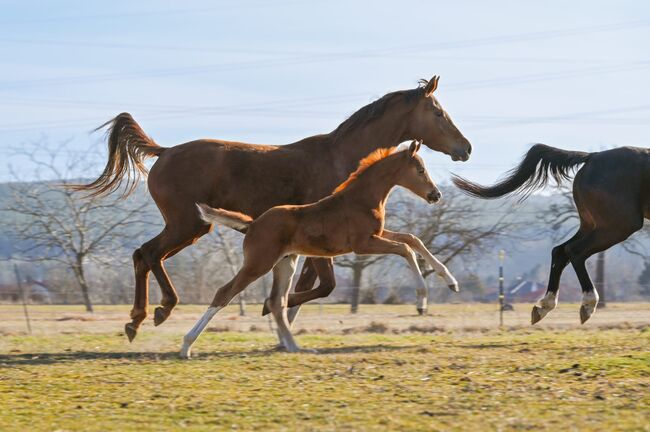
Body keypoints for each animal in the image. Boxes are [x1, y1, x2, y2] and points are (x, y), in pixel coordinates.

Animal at [72, 77, 470, 340]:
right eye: (438, 112)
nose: (465, 148)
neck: (343, 158)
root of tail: (164, 151)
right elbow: (322, 285)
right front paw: (272, 312)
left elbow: (318, 283)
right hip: (187, 224)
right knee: (148, 254)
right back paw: (155, 311)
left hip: (192, 227)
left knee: (145, 255)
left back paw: (140, 318)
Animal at [450, 145, 648, 324]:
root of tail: (592, 156)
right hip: (618, 225)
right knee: (574, 251)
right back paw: (587, 304)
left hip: (593, 225)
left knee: (560, 251)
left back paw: (544, 306)